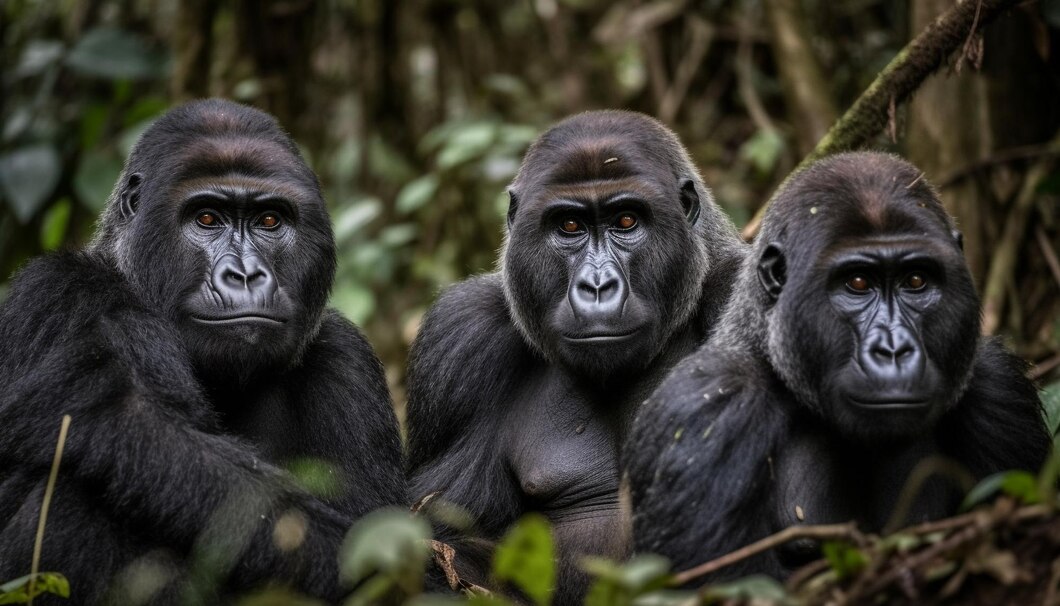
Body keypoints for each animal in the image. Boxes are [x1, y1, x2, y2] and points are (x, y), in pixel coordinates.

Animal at [0, 99, 404, 601]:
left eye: (270, 221)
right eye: (207, 218)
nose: (246, 276)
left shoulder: (346, 359)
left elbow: (373, 533)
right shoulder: (63, 290)